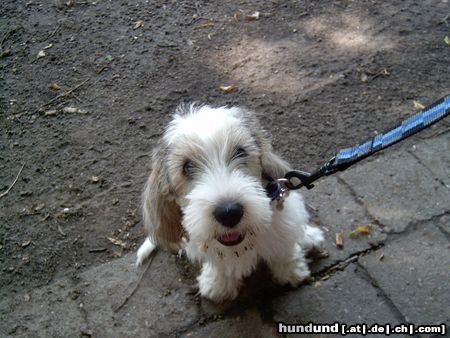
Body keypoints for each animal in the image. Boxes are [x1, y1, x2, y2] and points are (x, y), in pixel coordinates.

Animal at [135, 103, 326, 302]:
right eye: (187, 167)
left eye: (241, 152)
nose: (229, 213)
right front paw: (217, 283)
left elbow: (282, 245)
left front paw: (291, 270)